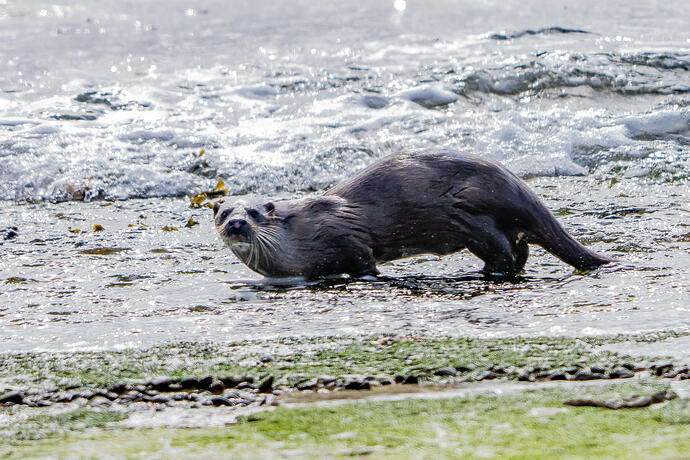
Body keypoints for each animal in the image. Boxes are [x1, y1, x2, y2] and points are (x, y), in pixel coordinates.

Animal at [214, 150, 610, 279]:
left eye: (254, 212)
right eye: (223, 213)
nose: (236, 222)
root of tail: (515, 185)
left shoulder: (344, 234)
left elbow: (364, 262)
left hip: (469, 213)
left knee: (505, 253)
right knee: (521, 248)